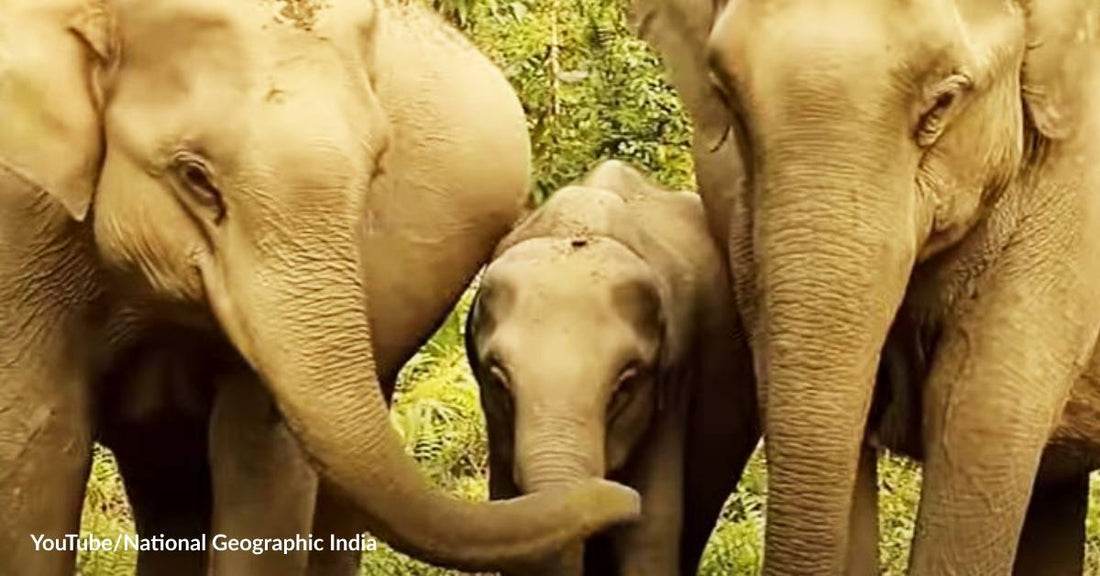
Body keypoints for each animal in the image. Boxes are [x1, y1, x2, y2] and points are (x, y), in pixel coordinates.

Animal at [0, 1, 641, 575]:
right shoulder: (22, 218)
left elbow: (261, 461)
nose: (624, 503)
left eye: (377, 166)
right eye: (194, 176)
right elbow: (40, 441)